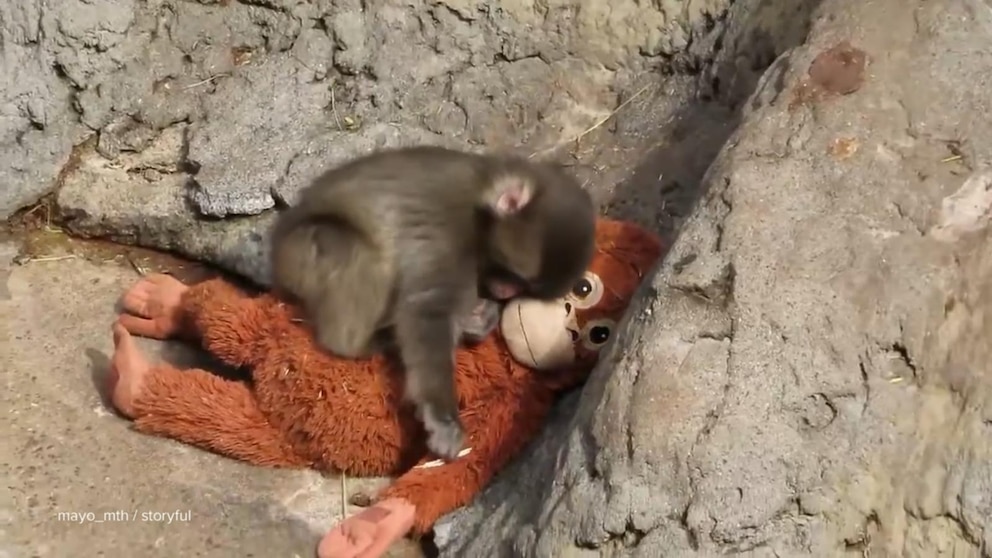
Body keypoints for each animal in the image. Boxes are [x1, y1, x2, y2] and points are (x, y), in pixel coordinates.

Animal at [268, 145, 596, 461]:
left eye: (523, 287)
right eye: (515, 276)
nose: (504, 292)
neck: (481, 198)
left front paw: (480, 319)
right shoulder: (451, 232)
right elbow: (428, 309)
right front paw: (443, 418)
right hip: (302, 253)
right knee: (357, 254)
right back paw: (363, 343)